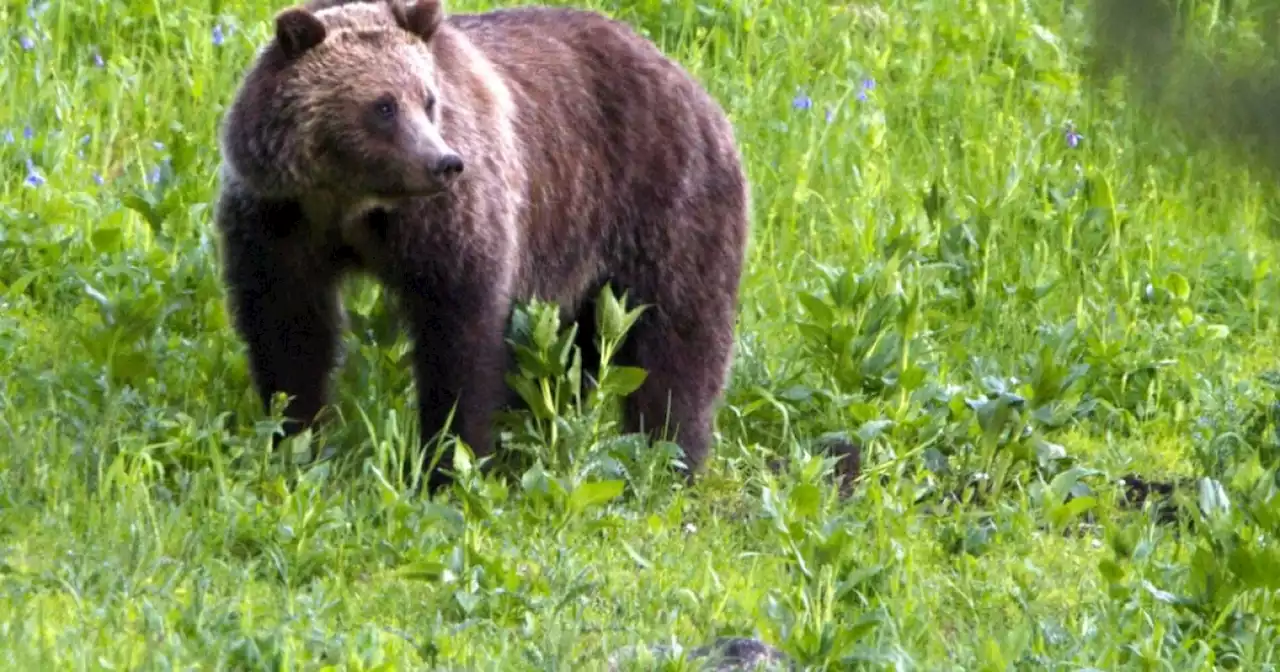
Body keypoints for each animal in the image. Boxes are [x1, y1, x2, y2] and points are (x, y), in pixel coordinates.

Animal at [211, 0, 747, 488]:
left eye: (428, 100)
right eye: (383, 106)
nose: (443, 162)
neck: (351, 204)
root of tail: (690, 82)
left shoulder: (449, 224)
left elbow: (460, 338)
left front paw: (449, 462)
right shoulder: (279, 223)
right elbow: (289, 331)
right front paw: (294, 438)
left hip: (662, 204)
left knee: (677, 339)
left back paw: (669, 458)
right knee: (572, 353)